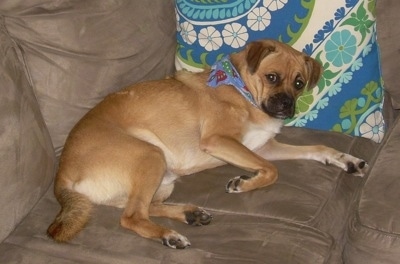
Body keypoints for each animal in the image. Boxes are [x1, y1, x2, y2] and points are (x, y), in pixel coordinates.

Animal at [47, 39, 366, 248]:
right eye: (272, 77)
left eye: (299, 83)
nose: (286, 106)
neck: (242, 89)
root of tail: (61, 175)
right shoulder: (222, 141)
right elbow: (271, 171)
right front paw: (245, 184)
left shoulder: (262, 147)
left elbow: (316, 149)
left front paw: (344, 159)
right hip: (151, 154)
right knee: (132, 216)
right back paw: (169, 234)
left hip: (162, 179)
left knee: (143, 207)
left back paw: (189, 213)